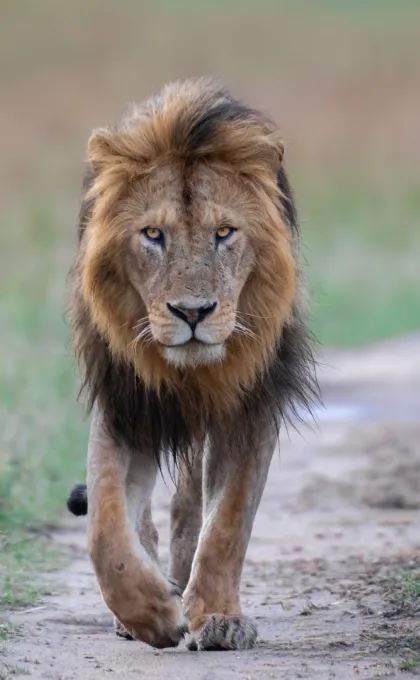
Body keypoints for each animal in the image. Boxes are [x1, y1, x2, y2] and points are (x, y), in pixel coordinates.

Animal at [65, 77, 316, 652]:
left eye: (224, 233)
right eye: (153, 235)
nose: (194, 312)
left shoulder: (251, 405)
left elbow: (227, 523)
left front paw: (218, 617)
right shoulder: (126, 403)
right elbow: (104, 527)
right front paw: (151, 614)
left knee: (190, 506)